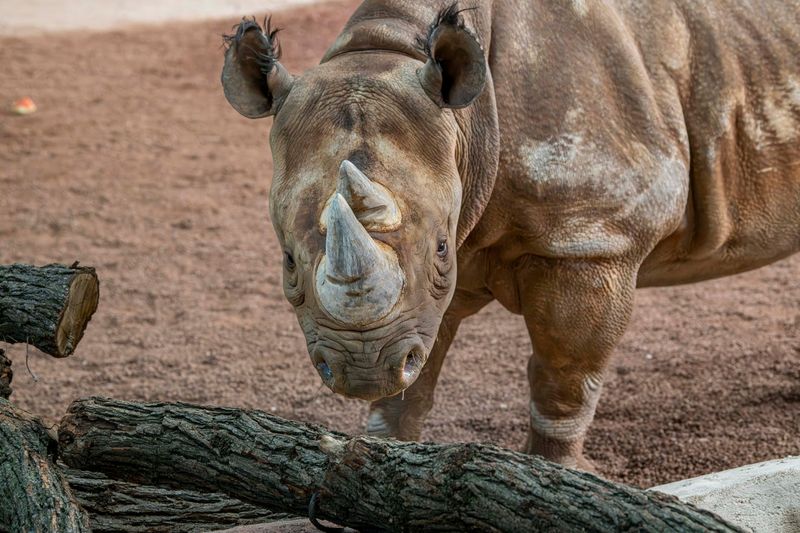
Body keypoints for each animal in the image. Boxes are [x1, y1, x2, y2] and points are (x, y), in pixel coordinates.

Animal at [221, 1, 800, 469]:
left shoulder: (591, 237)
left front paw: (562, 475)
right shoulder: (443, 267)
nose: (361, 370)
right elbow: (415, 375)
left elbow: (565, 373)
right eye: (288, 262)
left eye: (438, 248)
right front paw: (386, 454)